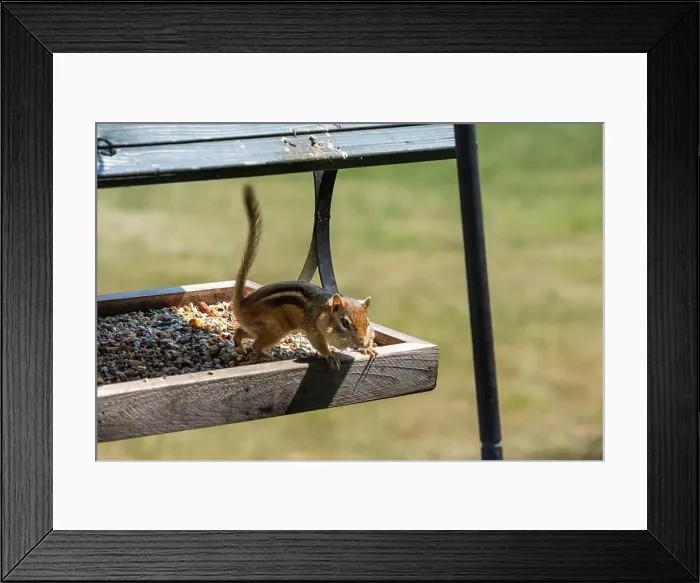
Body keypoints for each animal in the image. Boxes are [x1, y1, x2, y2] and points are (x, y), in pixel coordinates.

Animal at [231, 184, 378, 369]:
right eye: (345, 322)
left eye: (367, 322)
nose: (361, 343)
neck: (325, 310)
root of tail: (243, 304)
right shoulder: (314, 329)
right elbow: (320, 344)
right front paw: (330, 355)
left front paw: (369, 349)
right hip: (275, 330)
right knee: (256, 345)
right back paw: (267, 357)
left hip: (258, 328)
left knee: (240, 331)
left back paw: (240, 345)